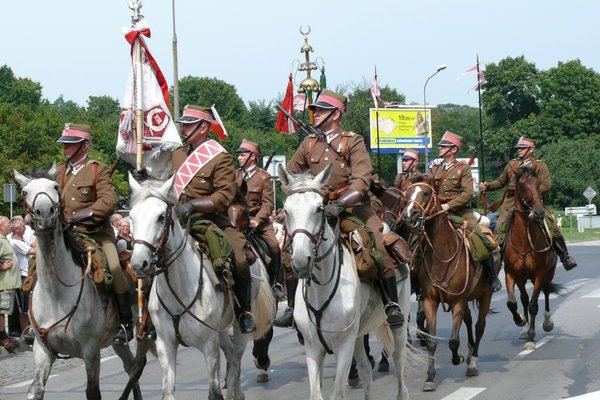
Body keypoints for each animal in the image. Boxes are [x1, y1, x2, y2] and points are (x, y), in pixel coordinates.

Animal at [14, 164, 148, 398]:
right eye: (25, 192)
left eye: (55, 187)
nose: (45, 213)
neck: (56, 294)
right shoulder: (42, 350)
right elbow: (35, 390)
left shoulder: (91, 352)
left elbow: (92, 391)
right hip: (118, 342)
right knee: (131, 366)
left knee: (139, 365)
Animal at [129, 175, 274, 400]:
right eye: (131, 216)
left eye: (161, 217)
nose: (138, 264)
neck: (179, 288)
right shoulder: (165, 347)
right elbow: (168, 392)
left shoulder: (208, 346)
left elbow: (214, 392)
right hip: (221, 329)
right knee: (231, 357)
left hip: (238, 327)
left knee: (236, 358)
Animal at [278, 164, 410, 398]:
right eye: (286, 210)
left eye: (319, 209)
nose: (301, 261)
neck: (322, 289)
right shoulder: (313, 348)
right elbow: (316, 393)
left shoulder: (344, 347)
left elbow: (337, 393)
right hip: (358, 335)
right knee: (366, 371)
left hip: (398, 328)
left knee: (398, 365)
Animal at [404, 174, 496, 390]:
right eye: (407, 193)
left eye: (426, 193)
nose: (409, 216)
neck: (442, 256)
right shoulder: (430, 301)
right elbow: (431, 341)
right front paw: (430, 378)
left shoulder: (457, 302)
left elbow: (454, 340)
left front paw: (457, 359)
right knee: (469, 321)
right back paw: (469, 352)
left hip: (485, 295)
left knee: (479, 326)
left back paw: (472, 362)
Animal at [502, 167, 564, 348]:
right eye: (522, 186)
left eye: (538, 184)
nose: (538, 212)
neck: (523, 240)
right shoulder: (511, 274)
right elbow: (512, 303)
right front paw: (520, 322)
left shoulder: (539, 274)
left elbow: (533, 305)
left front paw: (531, 337)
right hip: (522, 279)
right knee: (523, 299)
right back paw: (523, 328)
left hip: (548, 273)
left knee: (546, 291)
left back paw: (547, 322)